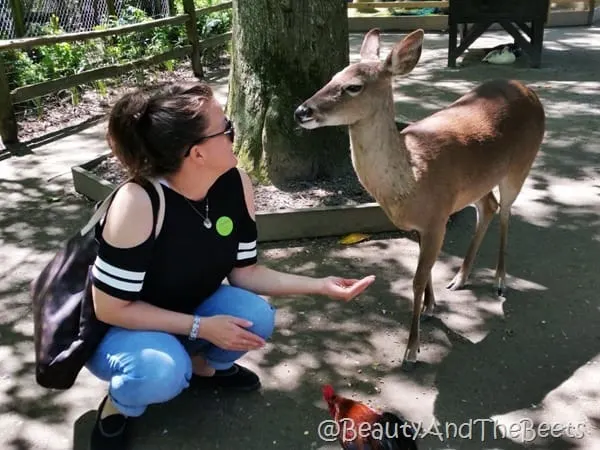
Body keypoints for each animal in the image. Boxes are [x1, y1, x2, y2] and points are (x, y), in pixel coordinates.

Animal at [292, 29, 548, 372]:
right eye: (333, 77)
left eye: (353, 86)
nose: (301, 112)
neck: (411, 180)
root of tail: (529, 90)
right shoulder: (420, 224)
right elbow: (424, 274)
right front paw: (430, 307)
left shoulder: (438, 217)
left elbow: (415, 279)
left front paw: (411, 351)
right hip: (476, 183)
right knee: (489, 207)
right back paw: (460, 278)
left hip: (522, 163)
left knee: (506, 211)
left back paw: (499, 281)